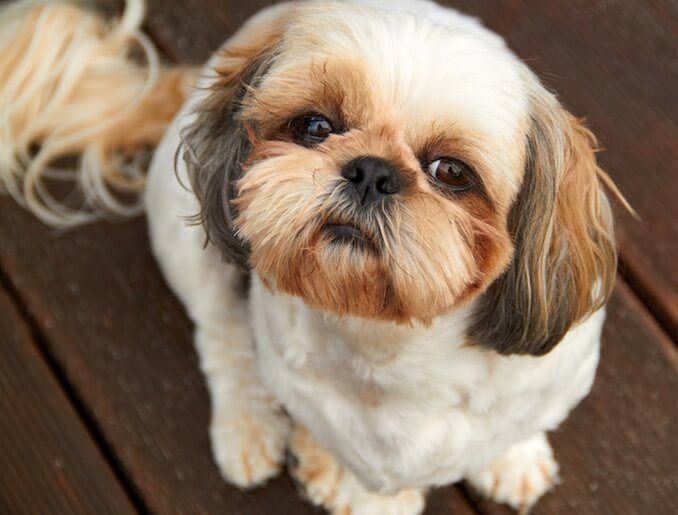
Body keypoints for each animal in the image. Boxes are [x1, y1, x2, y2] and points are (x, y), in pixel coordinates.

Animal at [0, 2, 632, 512]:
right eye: (314, 126)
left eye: (452, 171)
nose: (371, 170)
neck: (391, 339)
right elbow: (363, 471)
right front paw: (361, 490)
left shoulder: (560, 376)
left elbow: (519, 421)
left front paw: (511, 456)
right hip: (185, 242)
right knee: (222, 334)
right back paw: (246, 426)